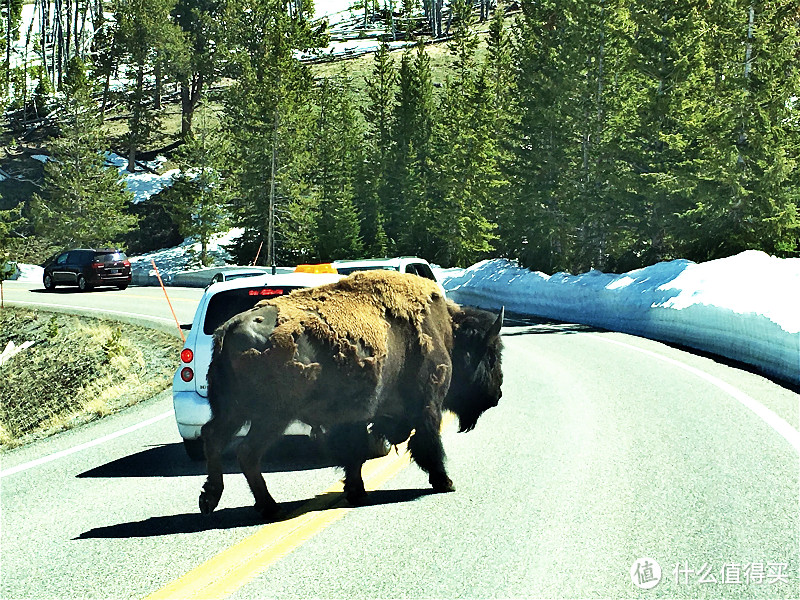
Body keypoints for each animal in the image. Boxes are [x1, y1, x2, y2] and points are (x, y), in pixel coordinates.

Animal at [198, 270, 500, 516]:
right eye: (491, 354)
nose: (497, 394)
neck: (446, 332)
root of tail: (228, 329)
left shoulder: (353, 418)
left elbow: (353, 455)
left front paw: (356, 493)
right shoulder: (428, 406)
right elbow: (427, 445)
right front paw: (445, 482)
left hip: (234, 412)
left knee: (212, 436)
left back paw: (210, 500)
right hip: (271, 417)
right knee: (247, 452)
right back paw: (269, 507)